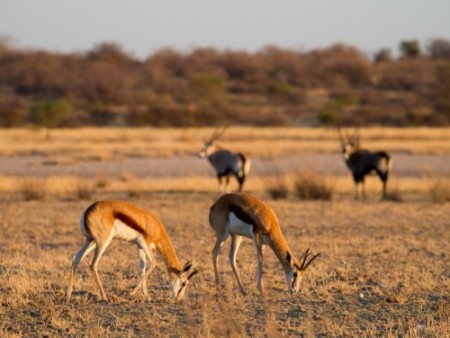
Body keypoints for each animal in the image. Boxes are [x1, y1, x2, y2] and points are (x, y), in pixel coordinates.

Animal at [64, 201, 197, 302]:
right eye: (184, 283)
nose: (178, 298)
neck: (156, 228)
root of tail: (87, 211)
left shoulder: (140, 247)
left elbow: (143, 267)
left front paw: (146, 295)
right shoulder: (145, 244)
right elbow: (154, 264)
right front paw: (131, 294)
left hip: (90, 241)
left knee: (76, 258)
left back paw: (68, 296)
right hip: (103, 241)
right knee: (92, 264)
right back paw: (104, 297)